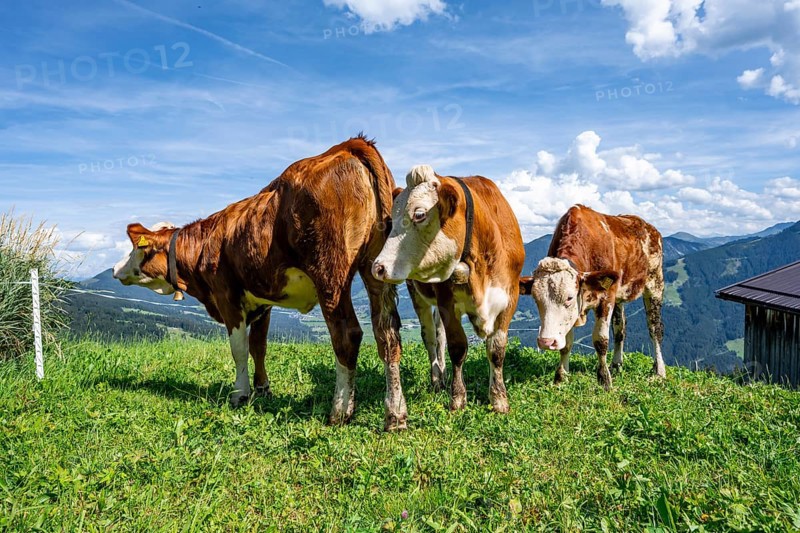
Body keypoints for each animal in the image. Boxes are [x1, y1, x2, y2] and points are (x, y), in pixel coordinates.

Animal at [112, 135, 411, 431]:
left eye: (138, 249)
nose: (115, 269)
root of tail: (350, 145)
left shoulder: (226, 294)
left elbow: (239, 348)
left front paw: (240, 393)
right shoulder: (263, 300)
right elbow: (259, 346)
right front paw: (263, 388)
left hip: (330, 272)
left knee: (347, 335)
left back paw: (340, 411)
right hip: (376, 269)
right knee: (387, 335)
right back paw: (395, 415)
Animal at [372, 165, 525, 413]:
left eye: (419, 214)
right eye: (391, 219)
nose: (378, 267)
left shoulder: (510, 297)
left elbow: (497, 349)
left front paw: (499, 399)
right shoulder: (446, 300)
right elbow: (457, 347)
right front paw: (458, 398)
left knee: (439, 333)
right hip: (418, 295)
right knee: (431, 337)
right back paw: (437, 379)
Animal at [519, 205, 666, 390]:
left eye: (569, 298)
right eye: (536, 299)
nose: (546, 342)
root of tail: (648, 227)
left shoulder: (606, 298)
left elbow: (601, 340)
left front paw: (604, 379)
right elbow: (566, 344)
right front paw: (561, 377)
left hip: (655, 283)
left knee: (655, 328)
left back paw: (659, 371)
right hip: (619, 295)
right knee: (620, 328)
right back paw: (616, 364)